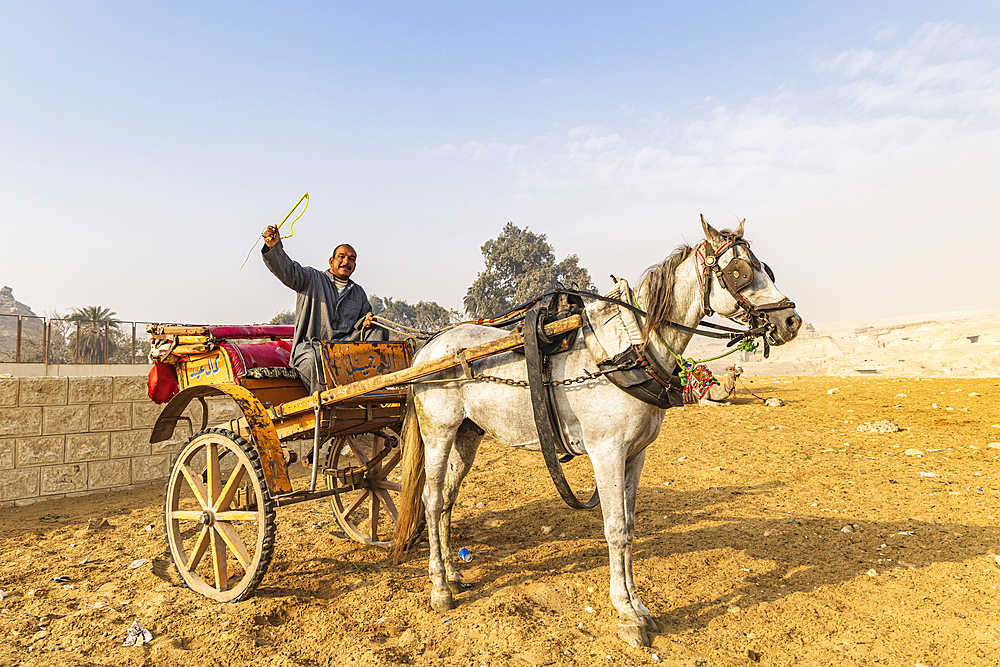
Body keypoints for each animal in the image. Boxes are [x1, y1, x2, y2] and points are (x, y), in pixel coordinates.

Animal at [394, 219, 800, 648]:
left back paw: (454, 573)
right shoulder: (607, 451)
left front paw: (640, 606)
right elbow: (616, 529)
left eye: (765, 268)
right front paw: (626, 613)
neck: (629, 351)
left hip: (467, 435)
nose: (792, 320)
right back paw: (440, 587)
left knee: (448, 499)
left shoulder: (636, 454)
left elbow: (631, 526)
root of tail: (428, 347)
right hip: (438, 432)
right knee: (432, 500)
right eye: (740, 271)